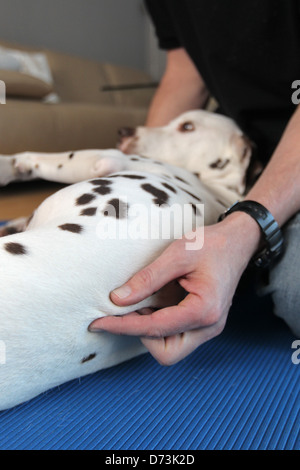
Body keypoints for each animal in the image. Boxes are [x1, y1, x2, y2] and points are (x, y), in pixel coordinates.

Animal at [0, 111, 252, 412]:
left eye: (187, 126)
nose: (124, 131)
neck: (218, 189)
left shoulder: (103, 157)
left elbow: (40, 157)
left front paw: (10, 165)